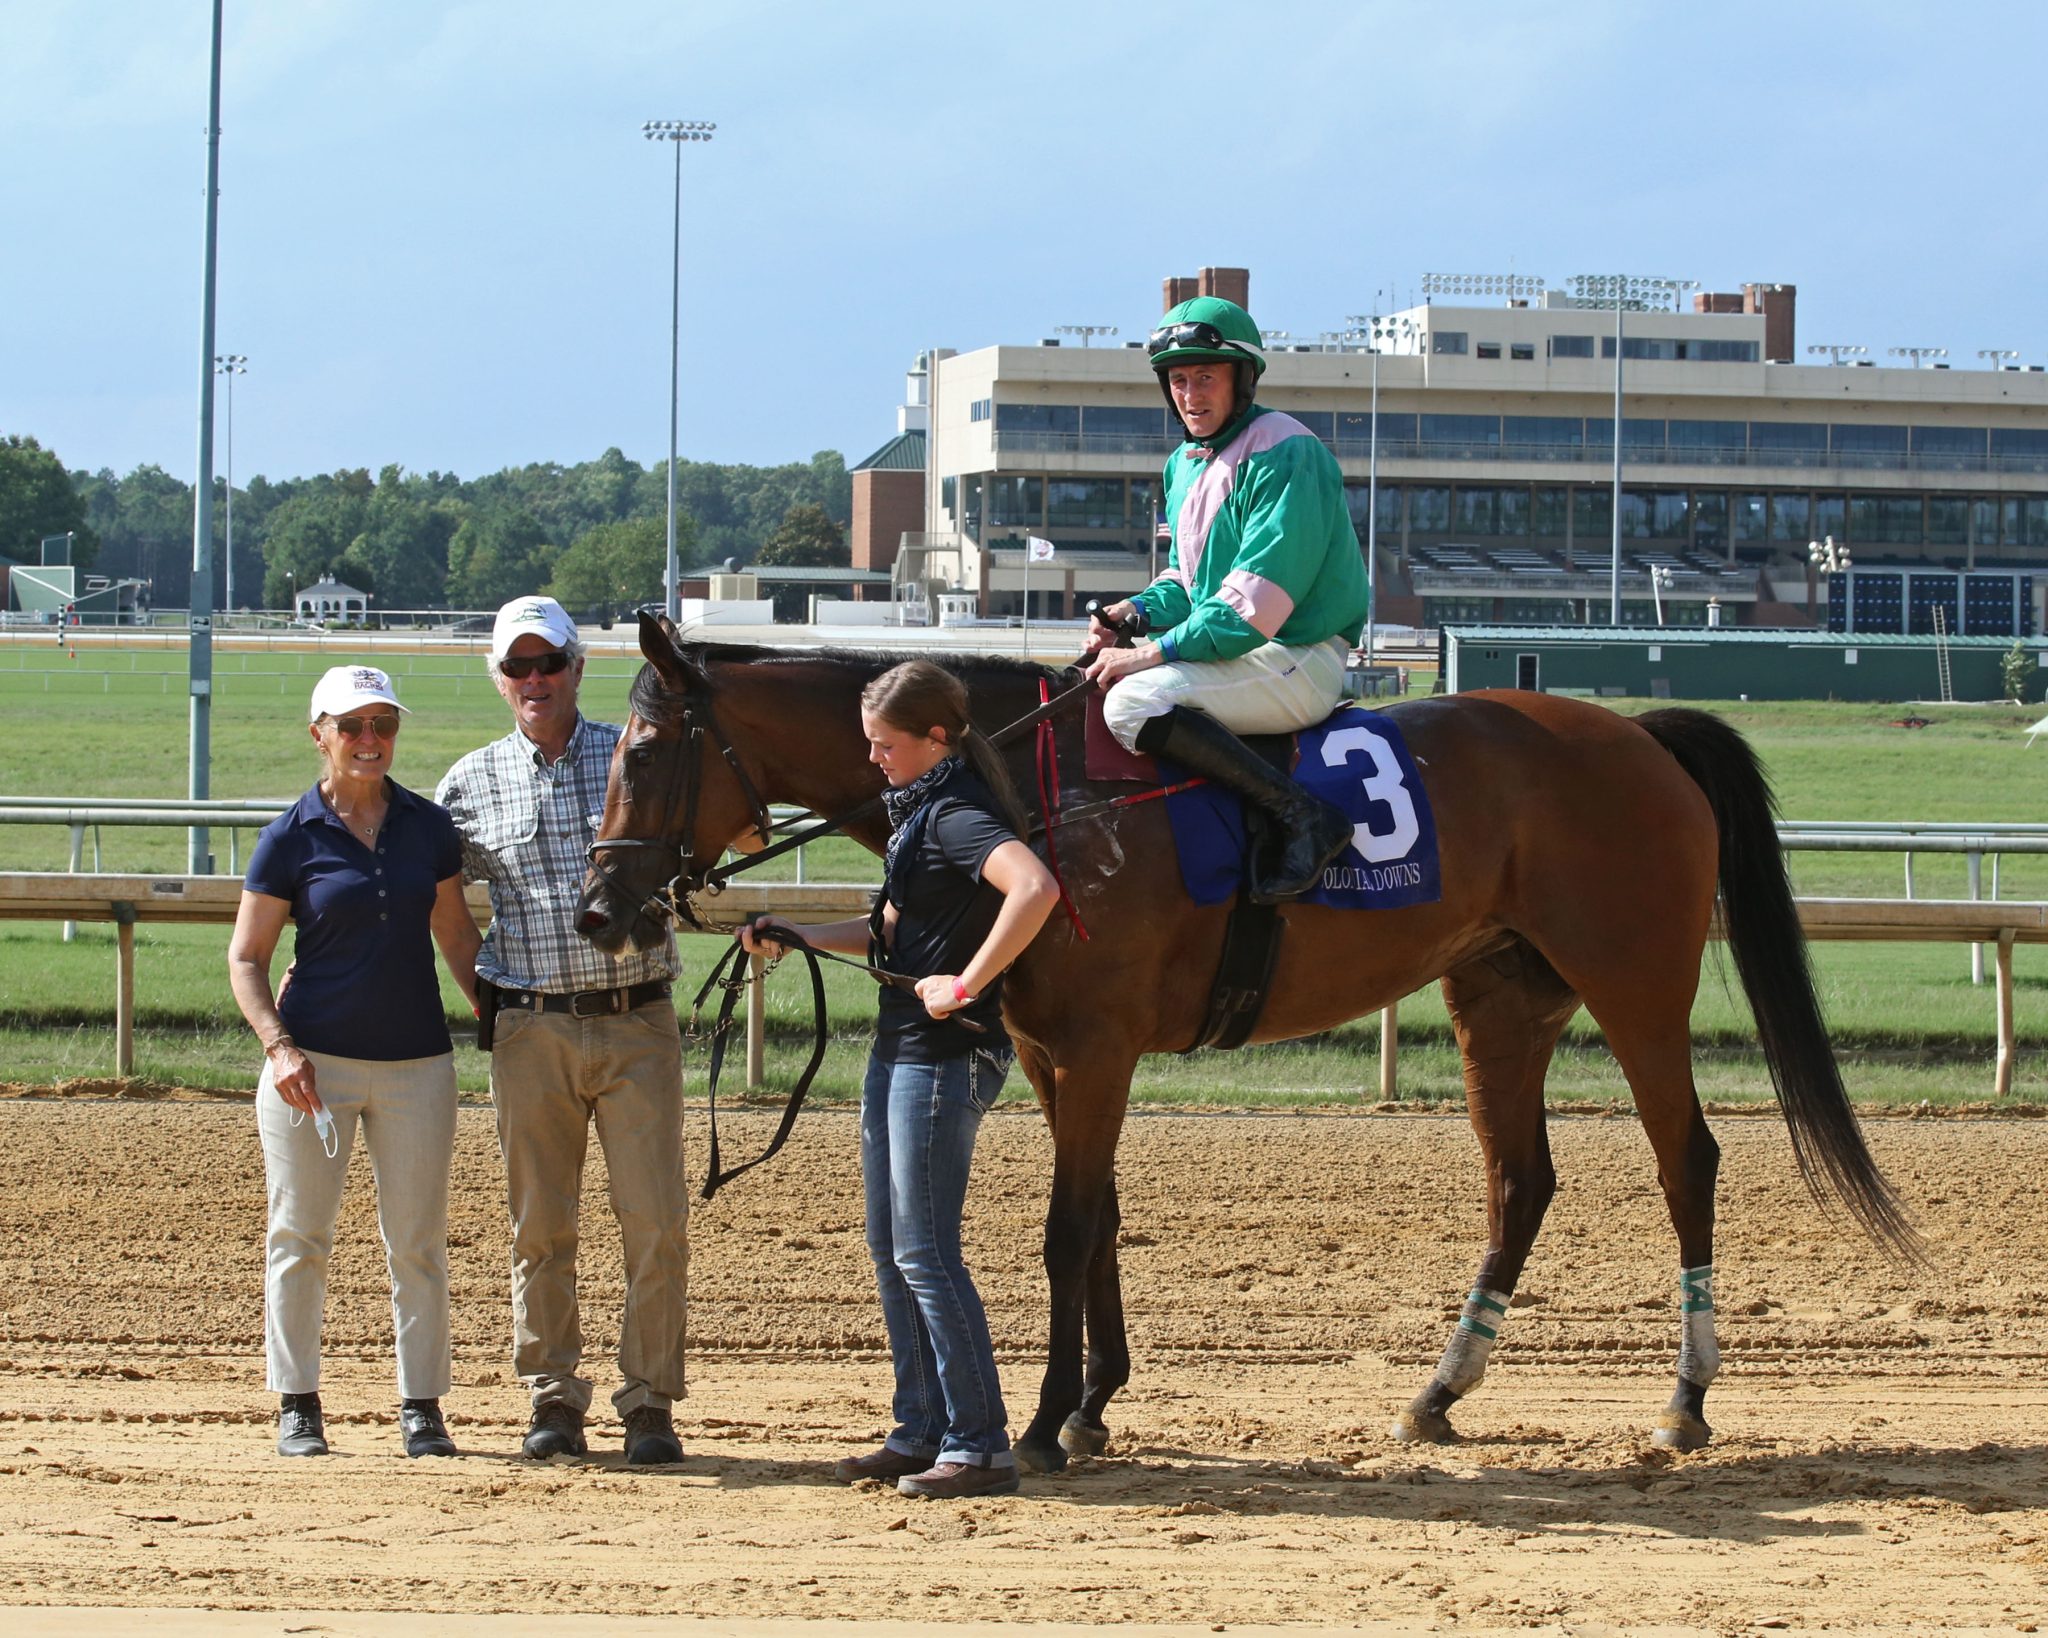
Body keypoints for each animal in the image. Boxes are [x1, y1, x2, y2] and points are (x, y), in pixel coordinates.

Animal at [581, 610, 1916, 1474]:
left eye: (641, 750)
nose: (597, 907)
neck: (1036, 795)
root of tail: (1634, 733)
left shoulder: (1098, 1047)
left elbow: (1066, 1229)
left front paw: (1045, 1421)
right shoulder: (1058, 1054)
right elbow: (1100, 1221)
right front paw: (1096, 1402)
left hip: (1633, 983)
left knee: (1686, 1160)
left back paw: (1682, 1401)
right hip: (1501, 998)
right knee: (1518, 1181)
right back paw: (1437, 1394)